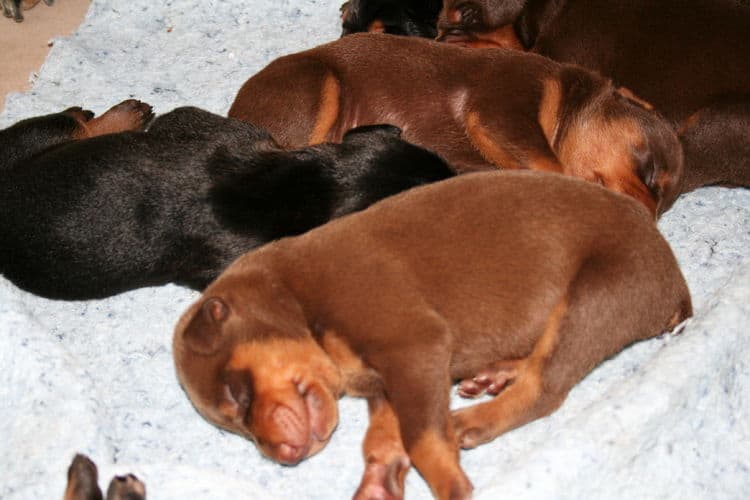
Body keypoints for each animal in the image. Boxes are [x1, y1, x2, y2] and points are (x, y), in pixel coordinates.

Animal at [173, 169, 692, 500]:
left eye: (238, 396)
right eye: (236, 429)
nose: (283, 456)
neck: (298, 297)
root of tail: (676, 285)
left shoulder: (413, 345)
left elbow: (423, 438)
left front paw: (449, 483)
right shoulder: (388, 381)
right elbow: (387, 436)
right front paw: (379, 481)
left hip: (597, 293)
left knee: (545, 387)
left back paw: (473, 420)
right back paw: (493, 375)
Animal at [229, 34, 688, 216]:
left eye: (664, 207)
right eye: (650, 173)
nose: (647, 217)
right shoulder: (502, 108)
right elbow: (549, 163)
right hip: (317, 87)